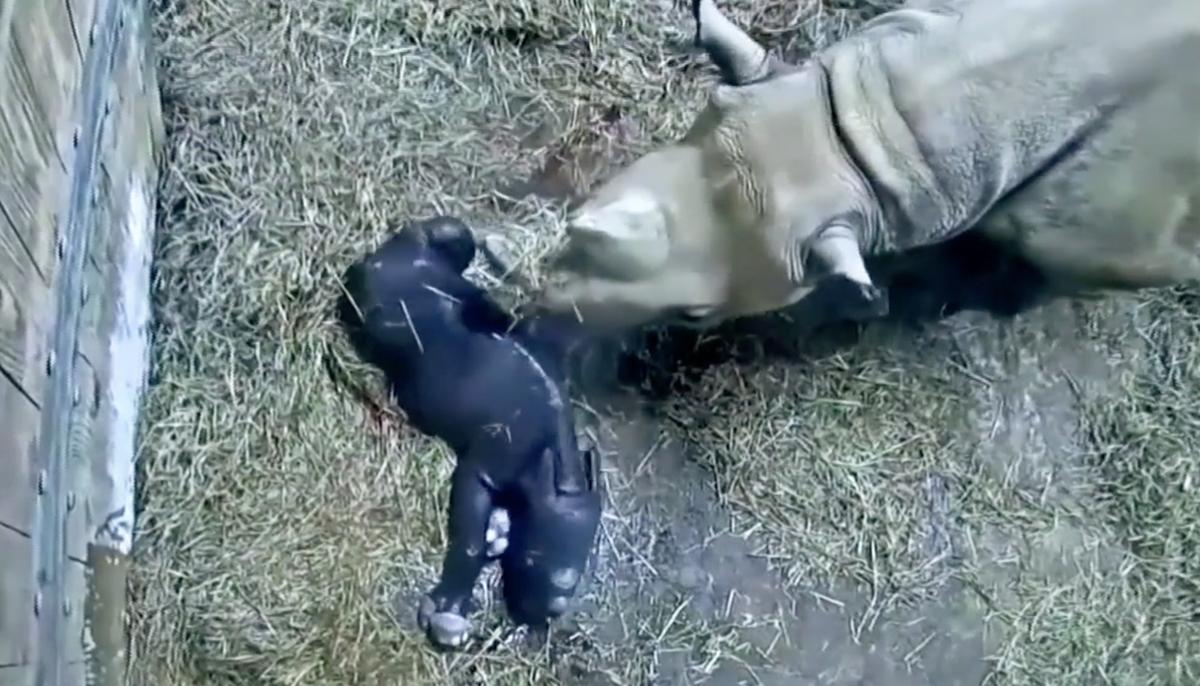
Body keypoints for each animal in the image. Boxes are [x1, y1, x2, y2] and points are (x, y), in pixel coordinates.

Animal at [336, 216, 602, 650]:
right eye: (532, 556)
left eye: (580, 567)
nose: (549, 609)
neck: (546, 452)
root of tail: (397, 254)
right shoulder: (485, 465)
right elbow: (472, 540)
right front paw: (449, 610)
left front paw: (498, 534)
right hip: (382, 317)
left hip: (448, 241)